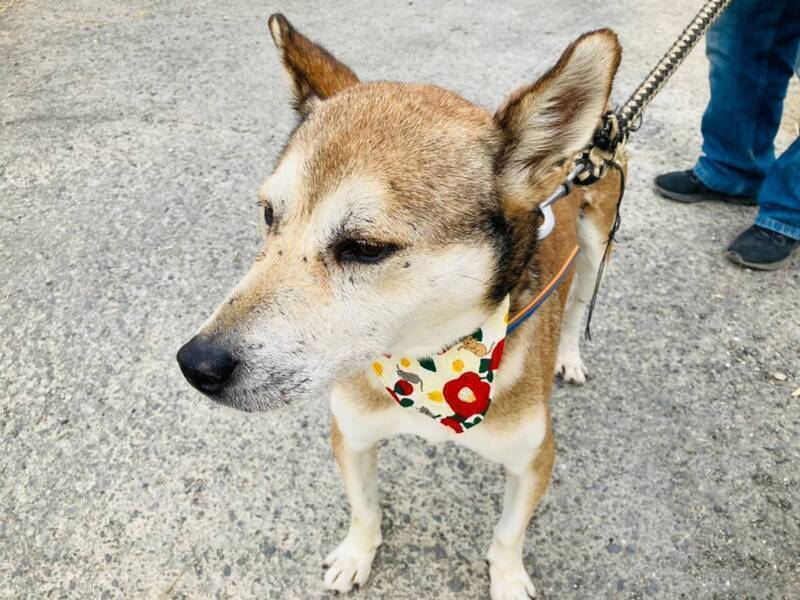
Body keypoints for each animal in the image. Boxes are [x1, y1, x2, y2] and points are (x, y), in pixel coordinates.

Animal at [177, 13, 624, 598]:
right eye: (270, 214)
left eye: (365, 248)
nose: (196, 363)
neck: (434, 365)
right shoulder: (352, 432)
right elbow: (364, 510)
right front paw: (356, 554)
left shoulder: (533, 458)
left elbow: (508, 536)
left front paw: (506, 579)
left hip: (596, 247)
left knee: (578, 307)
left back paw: (567, 355)